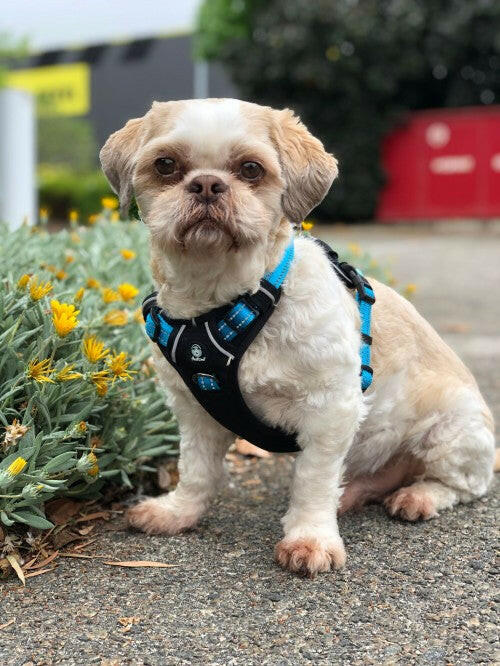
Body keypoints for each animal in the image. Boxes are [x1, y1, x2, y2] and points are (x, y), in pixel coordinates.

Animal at [99, 98, 494, 576]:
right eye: (166, 165)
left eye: (250, 169)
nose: (207, 184)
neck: (227, 304)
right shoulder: (195, 411)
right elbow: (196, 470)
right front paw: (179, 512)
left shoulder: (330, 409)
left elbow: (312, 479)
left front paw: (309, 537)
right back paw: (357, 491)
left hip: (451, 434)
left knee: (463, 485)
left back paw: (419, 495)